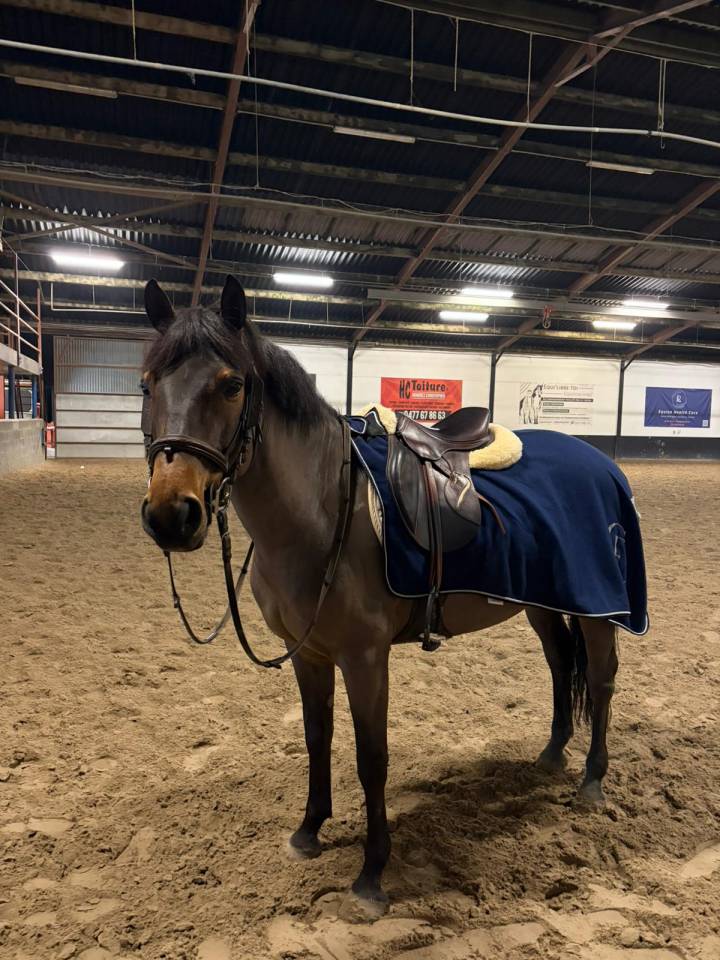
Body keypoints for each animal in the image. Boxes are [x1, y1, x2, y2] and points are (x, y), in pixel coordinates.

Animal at [140, 275, 622, 913]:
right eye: (147, 383)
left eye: (231, 385)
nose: (172, 515)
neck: (322, 511)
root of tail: (600, 461)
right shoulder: (311, 654)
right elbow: (317, 739)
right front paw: (309, 830)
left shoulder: (365, 659)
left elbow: (372, 757)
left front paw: (372, 871)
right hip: (544, 604)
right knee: (559, 662)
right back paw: (550, 755)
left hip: (599, 608)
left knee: (599, 677)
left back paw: (591, 781)